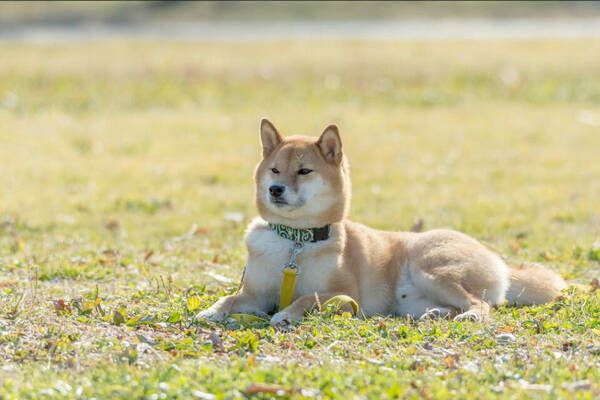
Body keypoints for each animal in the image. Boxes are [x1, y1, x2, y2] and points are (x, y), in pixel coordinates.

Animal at [198, 119, 568, 324]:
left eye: (304, 171)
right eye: (275, 170)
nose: (275, 189)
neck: (294, 241)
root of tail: (499, 261)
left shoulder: (344, 293)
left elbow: (307, 298)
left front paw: (287, 314)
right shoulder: (255, 292)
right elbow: (230, 299)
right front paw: (212, 311)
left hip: (431, 268)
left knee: (481, 304)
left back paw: (471, 315)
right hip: (413, 300)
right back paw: (438, 315)